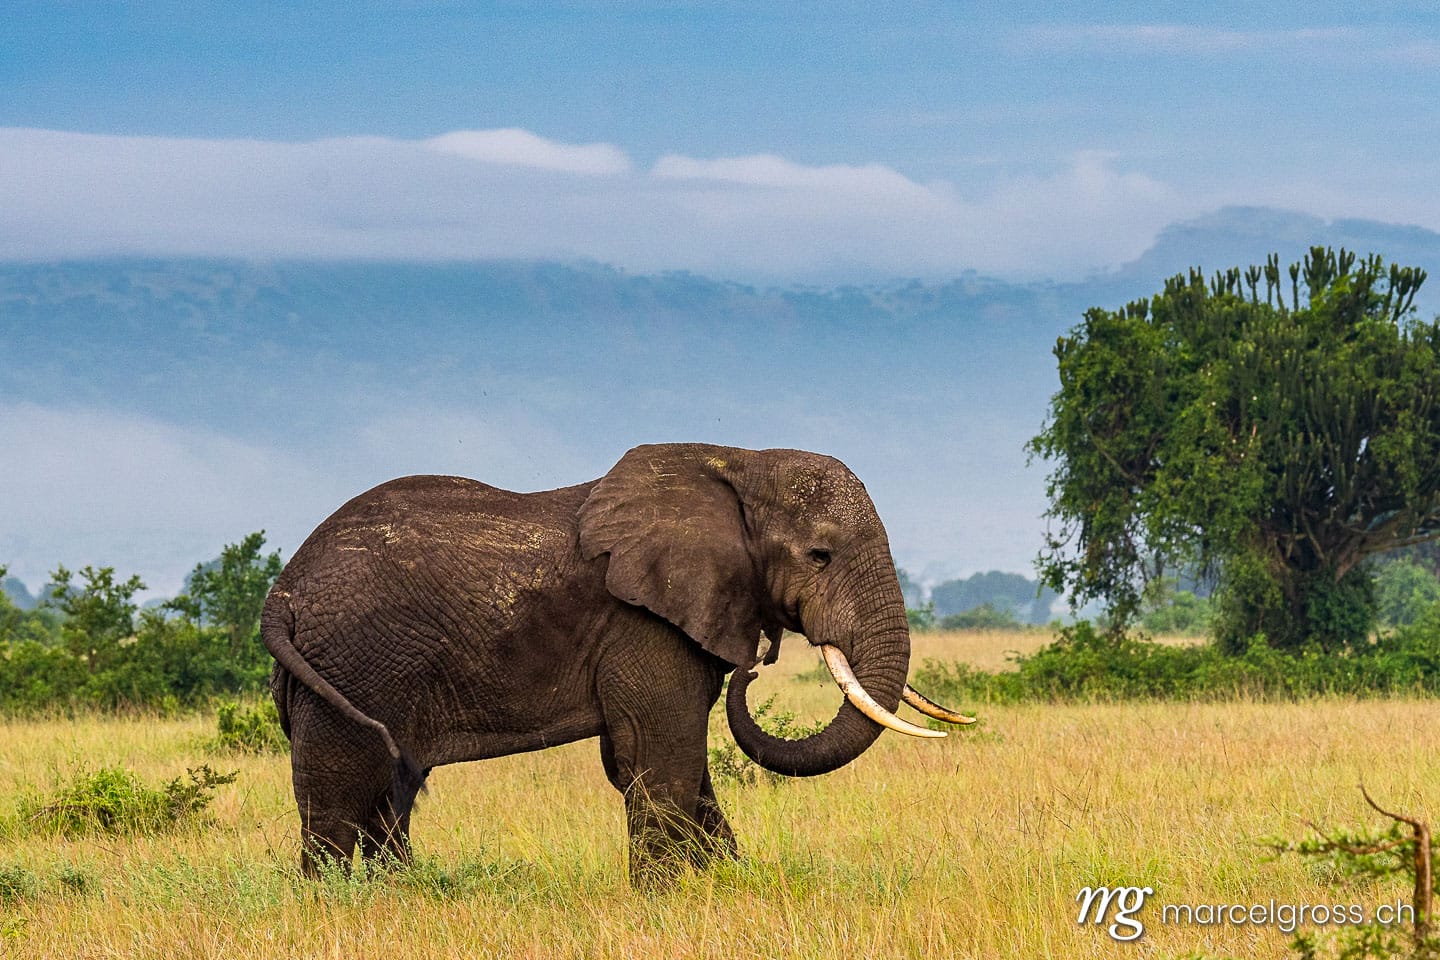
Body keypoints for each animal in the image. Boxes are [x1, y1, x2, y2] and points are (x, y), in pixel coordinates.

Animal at [262, 442, 972, 887]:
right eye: (819, 555)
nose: (756, 665)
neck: (739, 461)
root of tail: (283, 591)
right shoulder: (643, 620)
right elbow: (660, 759)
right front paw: (664, 902)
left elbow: (657, 765)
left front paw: (727, 883)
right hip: (351, 664)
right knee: (339, 799)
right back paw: (334, 903)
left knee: (388, 795)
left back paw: (397, 893)